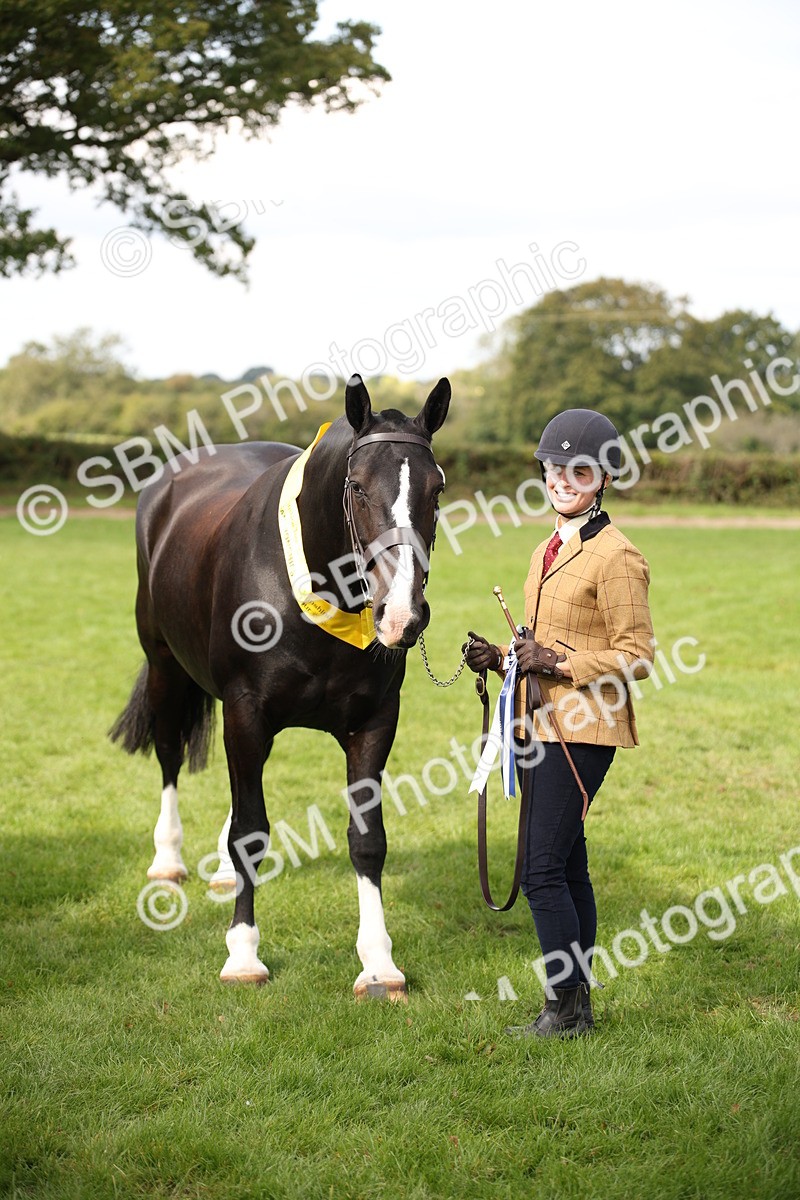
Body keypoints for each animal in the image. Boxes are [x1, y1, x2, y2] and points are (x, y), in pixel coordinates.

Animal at [110, 373, 451, 999]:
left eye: (436, 490)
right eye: (358, 489)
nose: (402, 615)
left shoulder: (374, 723)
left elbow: (367, 839)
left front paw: (379, 964)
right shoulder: (247, 712)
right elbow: (252, 832)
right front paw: (244, 955)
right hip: (166, 666)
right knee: (169, 753)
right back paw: (168, 860)